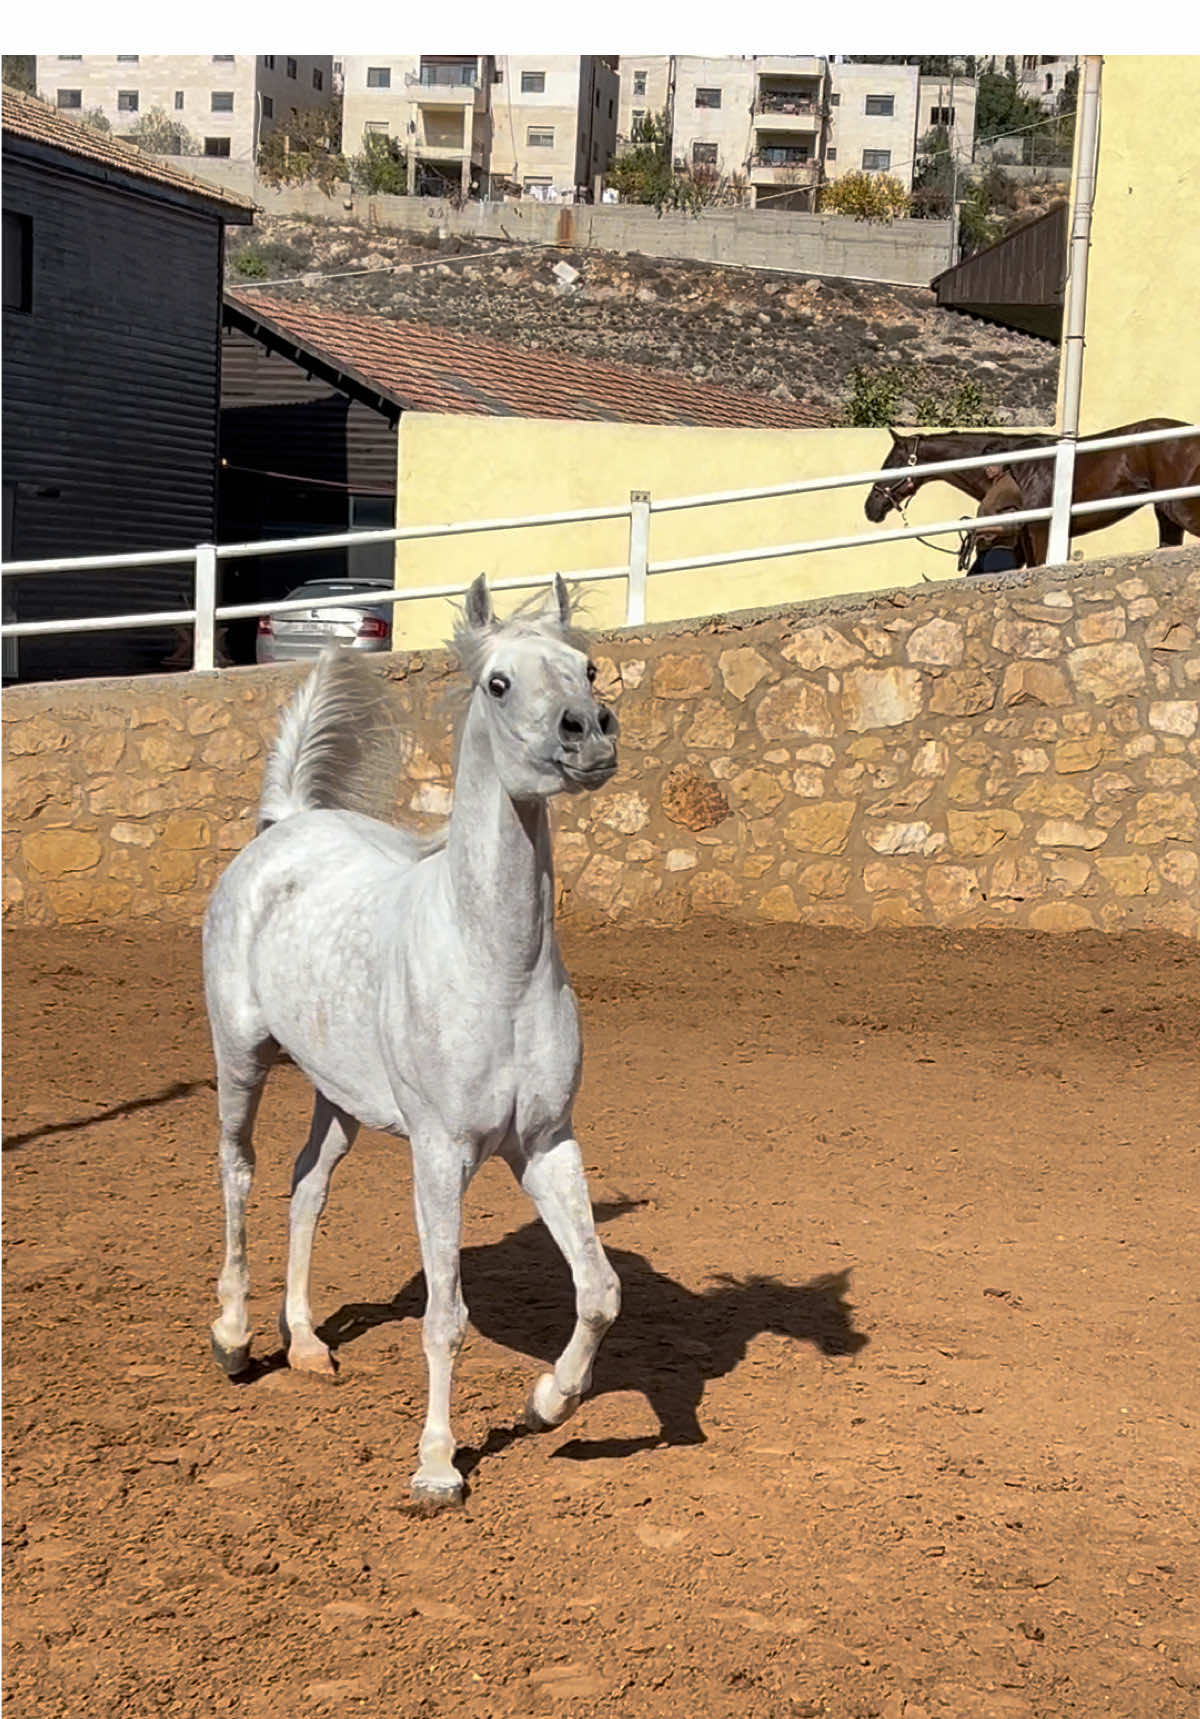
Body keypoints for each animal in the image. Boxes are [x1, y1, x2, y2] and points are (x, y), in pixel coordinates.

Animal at [203, 574, 621, 1506]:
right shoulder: (440, 1152)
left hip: (339, 1097)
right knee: (241, 1174)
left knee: (306, 1185)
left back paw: (307, 1345)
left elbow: (598, 1289)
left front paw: (549, 1403)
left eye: (587, 667)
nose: (590, 731)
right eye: (498, 682)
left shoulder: (546, 1142)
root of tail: (286, 822)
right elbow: (445, 1317)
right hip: (241, 1059)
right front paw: (436, 1467)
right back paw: (235, 1339)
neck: (495, 966)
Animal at [863, 418, 1200, 567]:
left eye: (890, 465)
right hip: (1166, 514)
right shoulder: (1024, 538)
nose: (871, 508)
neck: (1015, 466)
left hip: (1181, 507)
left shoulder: (1040, 531)